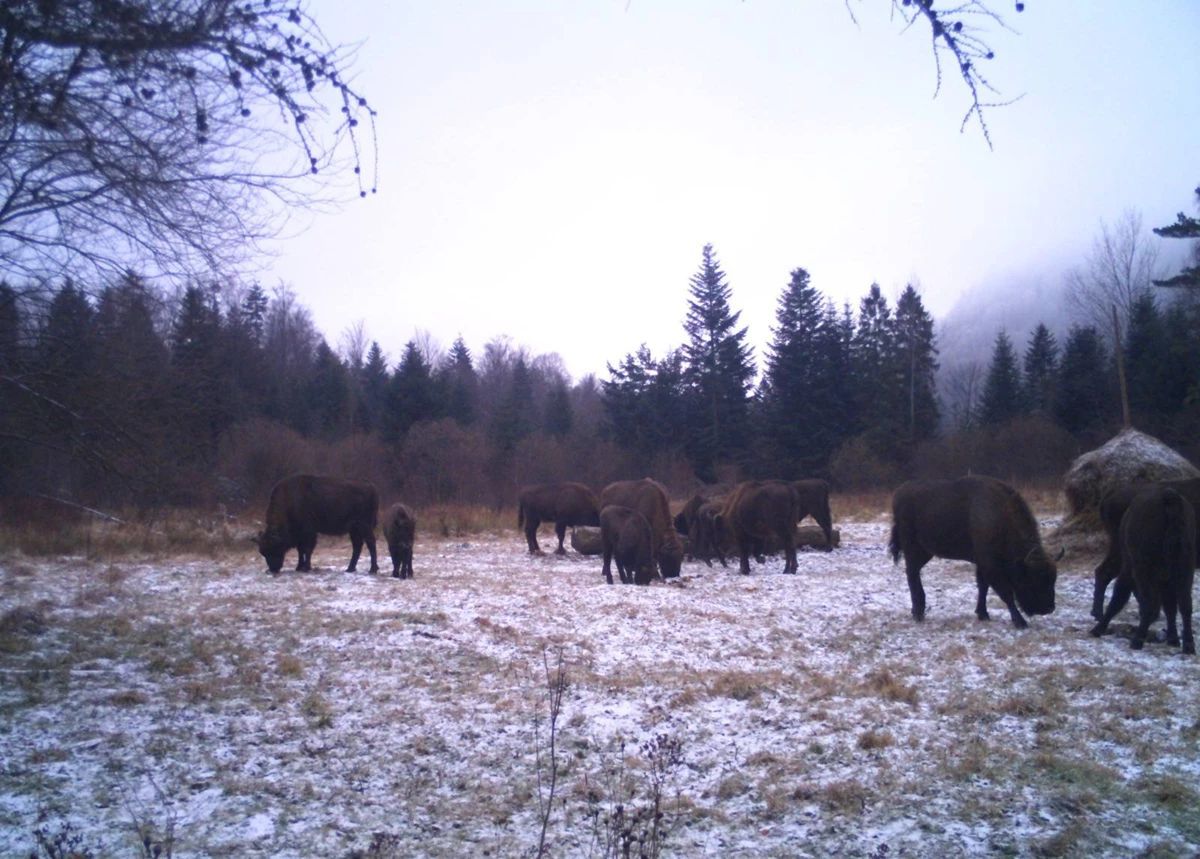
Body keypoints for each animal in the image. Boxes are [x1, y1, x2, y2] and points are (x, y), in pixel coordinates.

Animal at [883, 472, 1060, 628]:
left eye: (1053, 579)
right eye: (1032, 578)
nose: (1048, 608)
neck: (999, 517)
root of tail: (899, 493)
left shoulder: (982, 564)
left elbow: (983, 587)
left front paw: (983, 614)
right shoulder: (990, 565)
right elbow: (1005, 593)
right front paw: (1020, 622)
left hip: (926, 552)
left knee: (914, 572)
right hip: (912, 547)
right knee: (912, 573)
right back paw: (918, 613)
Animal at [1094, 487, 1195, 652]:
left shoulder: (1131, 568)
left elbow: (1119, 595)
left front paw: (1098, 629)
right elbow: (1170, 606)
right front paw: (1173, 639)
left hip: (1142, 569)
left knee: (1149, 602)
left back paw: (1136, 640)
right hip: (1184, 569)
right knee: (1185, 603)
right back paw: (1188, 646)